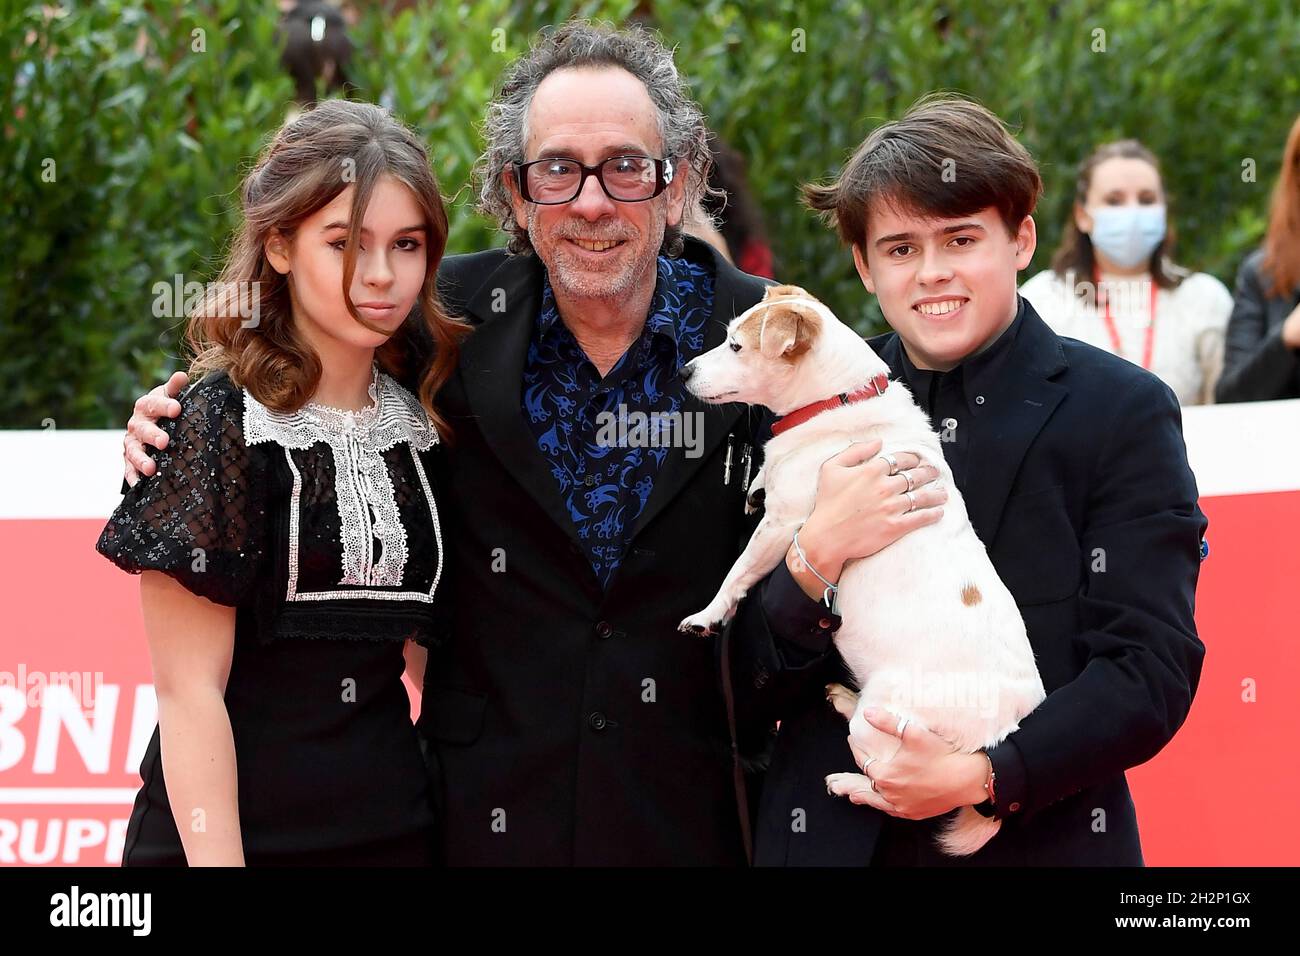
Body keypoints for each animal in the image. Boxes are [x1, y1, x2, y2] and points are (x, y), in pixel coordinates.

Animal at [676, 286, 1040, 858]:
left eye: (735, 346)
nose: (684, 371)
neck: (839, 399)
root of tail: (999, 735)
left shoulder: (783, 525)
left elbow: (738, 574)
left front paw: (707, 615)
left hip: (889, 730)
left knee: (889, 785)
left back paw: (849, 781)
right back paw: (845, 697)